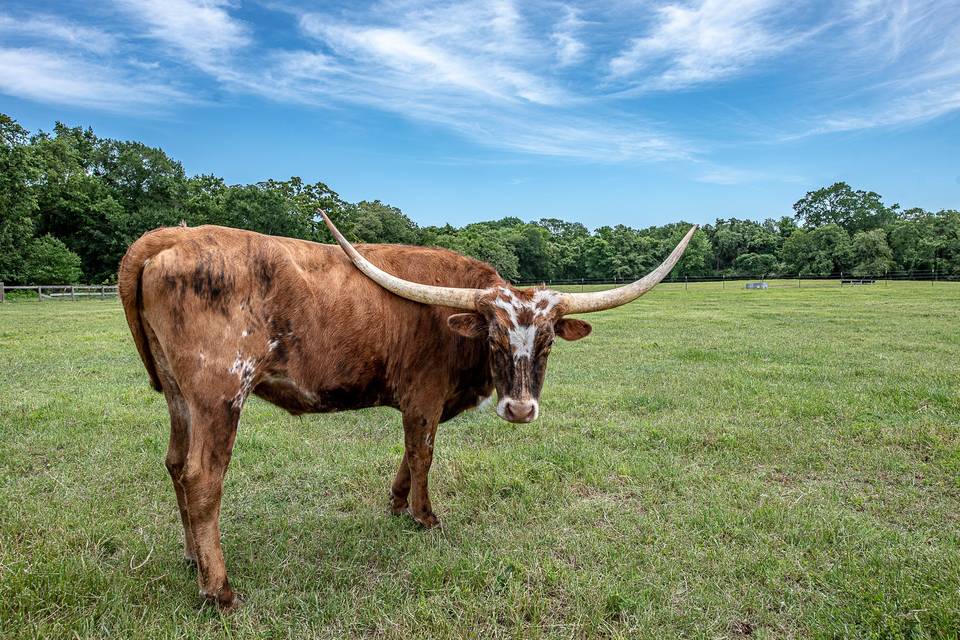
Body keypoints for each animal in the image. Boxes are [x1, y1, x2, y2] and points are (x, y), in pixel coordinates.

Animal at [118, 212, 696, 608]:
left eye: (549, 343)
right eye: (494, 340)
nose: (519, 409)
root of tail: (171, 236)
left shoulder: (421, 402)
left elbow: (408, 453)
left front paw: (397, 505)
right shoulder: (424, 395)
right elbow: (423, 453)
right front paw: (424, 515)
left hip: (179, 396)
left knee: (175, 464)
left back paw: (192, 559)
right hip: (218, 393)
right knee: (202, 477)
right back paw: (218, 589)